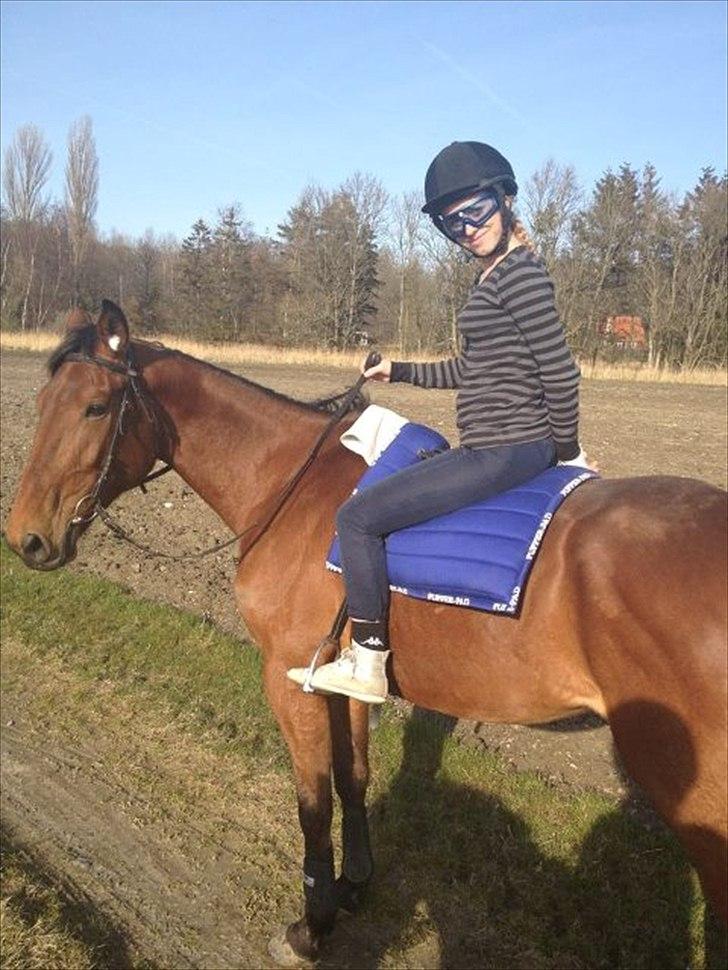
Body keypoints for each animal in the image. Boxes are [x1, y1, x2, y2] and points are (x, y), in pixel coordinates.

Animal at [5, 301, 727, 963]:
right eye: (42, 401)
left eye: (96, 407)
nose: (26, 538)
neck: (292, 488)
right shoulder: (344, 680)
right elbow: (354, 778)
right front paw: (354, 886)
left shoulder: (289, 679)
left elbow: (312, 802)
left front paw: (313, 924)